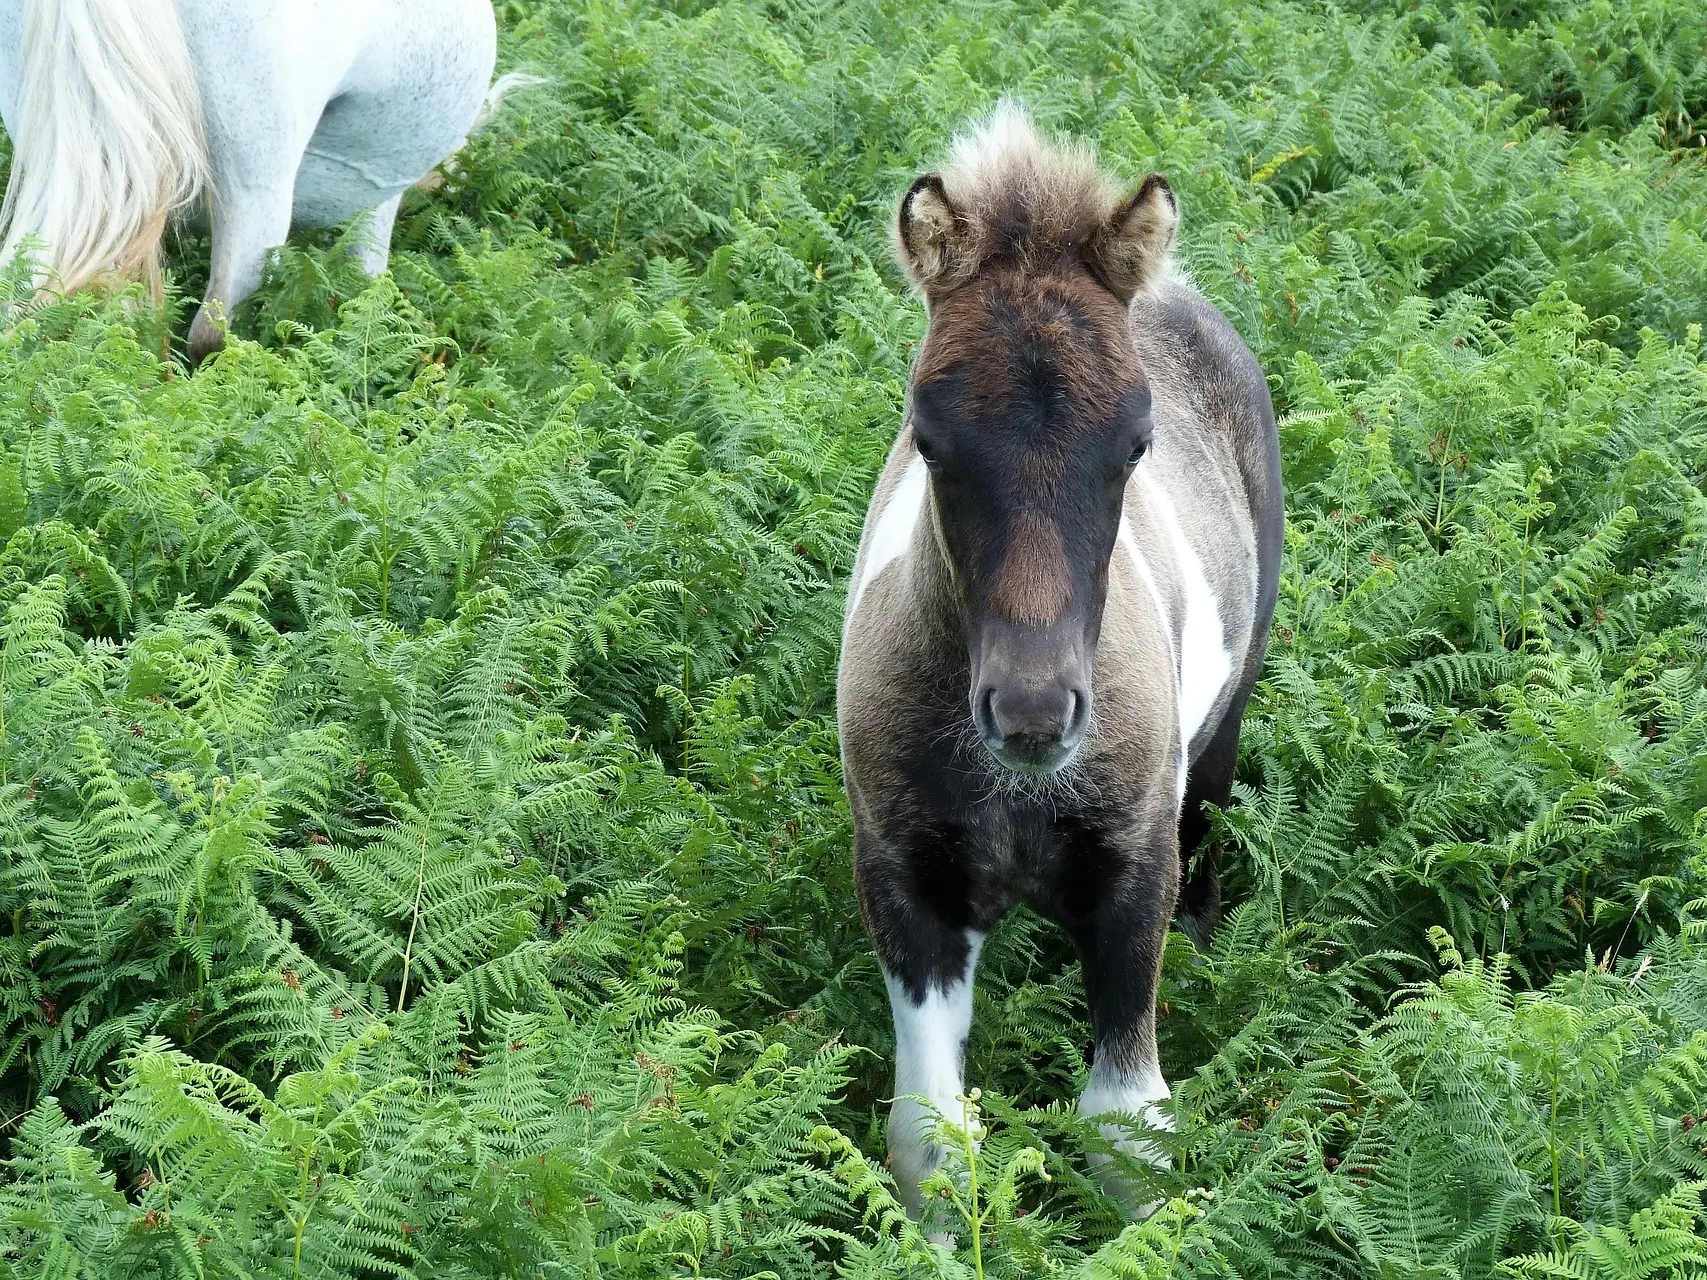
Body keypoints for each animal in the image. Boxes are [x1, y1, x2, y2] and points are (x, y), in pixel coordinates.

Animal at [839, 105, 1283, 1215]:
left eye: (1134, 442)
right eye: (929, 437)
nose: (1035, 712)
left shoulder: (1133, 884)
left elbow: (1129, 1130)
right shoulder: (909, 894)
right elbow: (931, 1142)